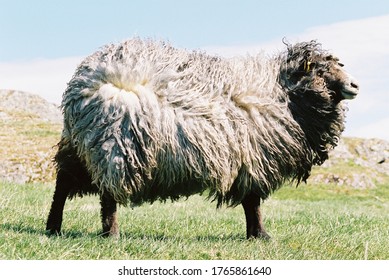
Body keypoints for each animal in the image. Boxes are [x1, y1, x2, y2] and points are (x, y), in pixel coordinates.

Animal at [45, 37, 358, 238]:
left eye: (339, 64)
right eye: (321, 70)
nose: (355, 85)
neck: (284, 94)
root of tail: (84, 80)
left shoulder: (246, 162)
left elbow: (250, 202)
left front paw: (255, 235)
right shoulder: (254, 160)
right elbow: (253, 202)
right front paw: (261, 235)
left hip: (79, 145)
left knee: (63, 184)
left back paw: (53, 227)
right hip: (118, 144)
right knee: (108, 194)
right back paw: (111, 233)